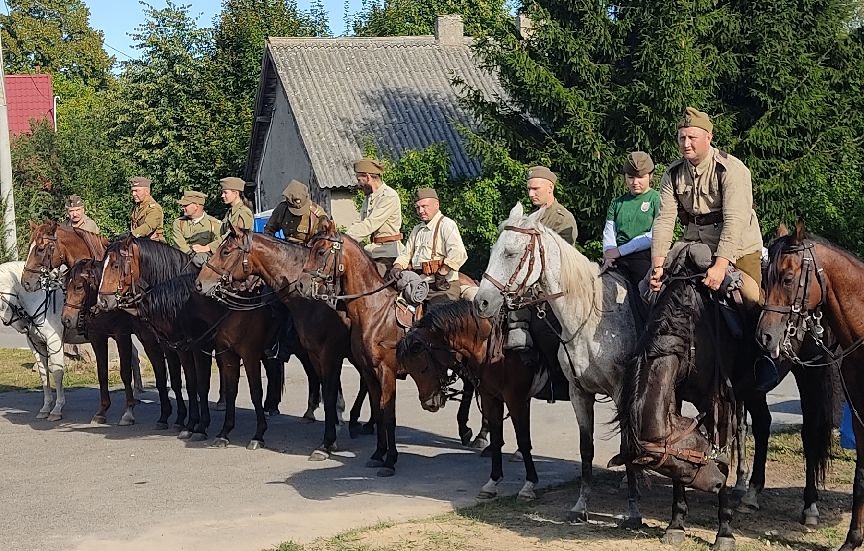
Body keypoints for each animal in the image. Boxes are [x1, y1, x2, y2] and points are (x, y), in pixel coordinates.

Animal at [0, 260, 66, 420]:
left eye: (4, 303)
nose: (24, 325)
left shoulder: (54, 342)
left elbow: (57, 373)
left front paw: (57, 409)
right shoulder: (36, 345)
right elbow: (43, 374)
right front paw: (46, 407)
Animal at [21, 222, 186, 430]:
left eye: (41, 249)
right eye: (29, 246)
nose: (26, 282)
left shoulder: (121, 334)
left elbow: (125, 372)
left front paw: (128, 413)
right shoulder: (97, 336)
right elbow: (102, 372)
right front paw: (102, 411)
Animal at [472, 203, 640, 528]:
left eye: (510, 252)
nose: (482, 302)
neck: (592, 318)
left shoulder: (621, 392)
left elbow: (626, 443)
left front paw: (633, 511)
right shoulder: (579, 393)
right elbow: (586, 449)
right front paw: (580, 506)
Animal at [760, 221, 864, 551]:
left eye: (788, 278)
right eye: (765, 277)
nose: (765, 335)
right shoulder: (859, 416)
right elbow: (861, 477)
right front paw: (852, 539)